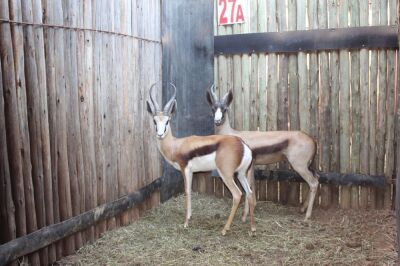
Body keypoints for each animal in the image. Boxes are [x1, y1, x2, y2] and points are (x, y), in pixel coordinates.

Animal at [147, 82, 256, 234]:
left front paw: (186, 222)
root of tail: (243, 144)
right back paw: (252, 228)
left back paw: (225, 229)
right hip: (241, 174)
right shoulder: (192, 171)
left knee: (237, 194)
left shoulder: (185, 169)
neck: (176, 145)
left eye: (167, 121)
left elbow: (187, 191)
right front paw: (190, 217)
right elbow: (190, 192)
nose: (160, 134)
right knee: (249, 193)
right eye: (154, 120)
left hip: (226, 175)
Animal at [206, 85, 318, 220]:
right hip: (308, 166)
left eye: (225, 109)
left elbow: (248, 186)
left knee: (313, 183)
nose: (217, 121)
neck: (233, 134)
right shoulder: (251, 166)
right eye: (213, 108)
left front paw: (244, 216)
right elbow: (251, 185)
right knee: (316, 178)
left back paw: (307, 217)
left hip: (299, 166)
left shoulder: (247, 167)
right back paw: (302, 209)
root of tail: (312, 139)